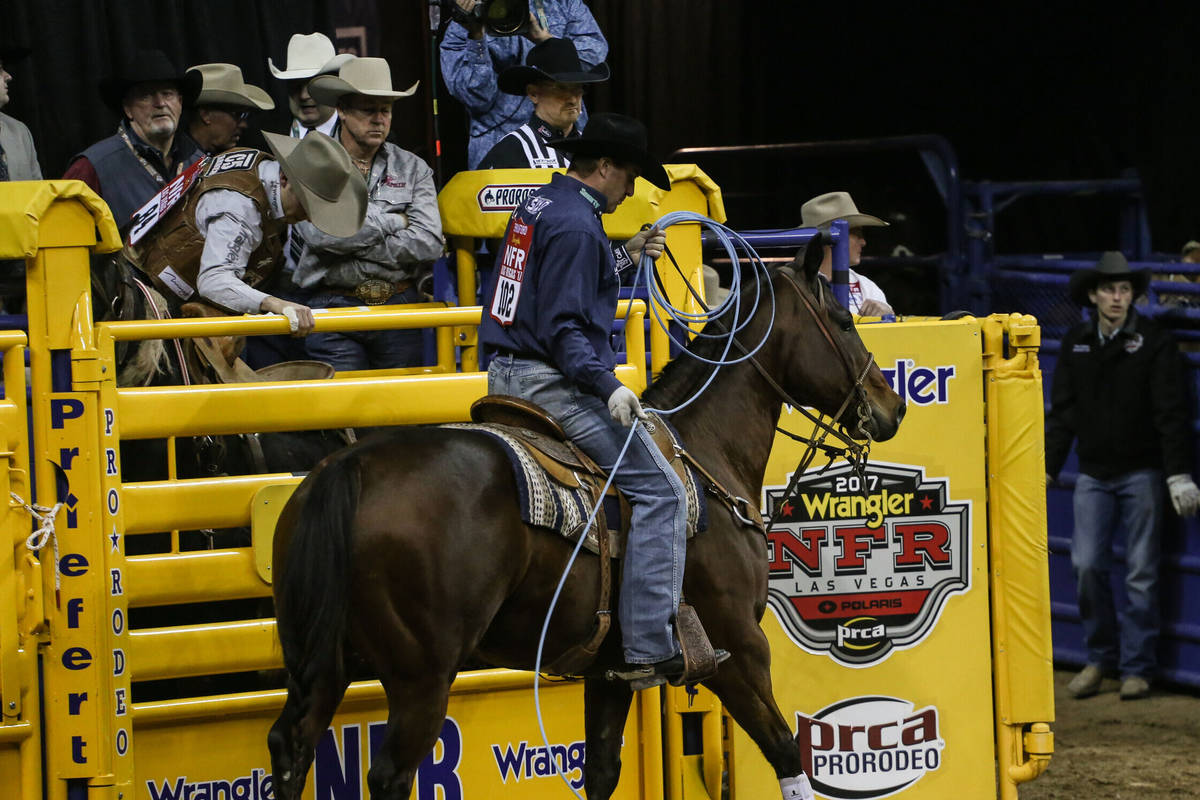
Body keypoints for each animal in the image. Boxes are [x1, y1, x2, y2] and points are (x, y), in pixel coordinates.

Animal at [262, 247, 902, 796]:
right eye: (843, 319)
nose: (892, 406)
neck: (704, 451)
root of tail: (350, 466)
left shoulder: (611, 672)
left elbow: (601, 771)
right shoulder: (740, 649)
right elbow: (787, 751)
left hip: (320, 664)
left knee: (291, 747)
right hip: (421, 677)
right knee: (390, 774)